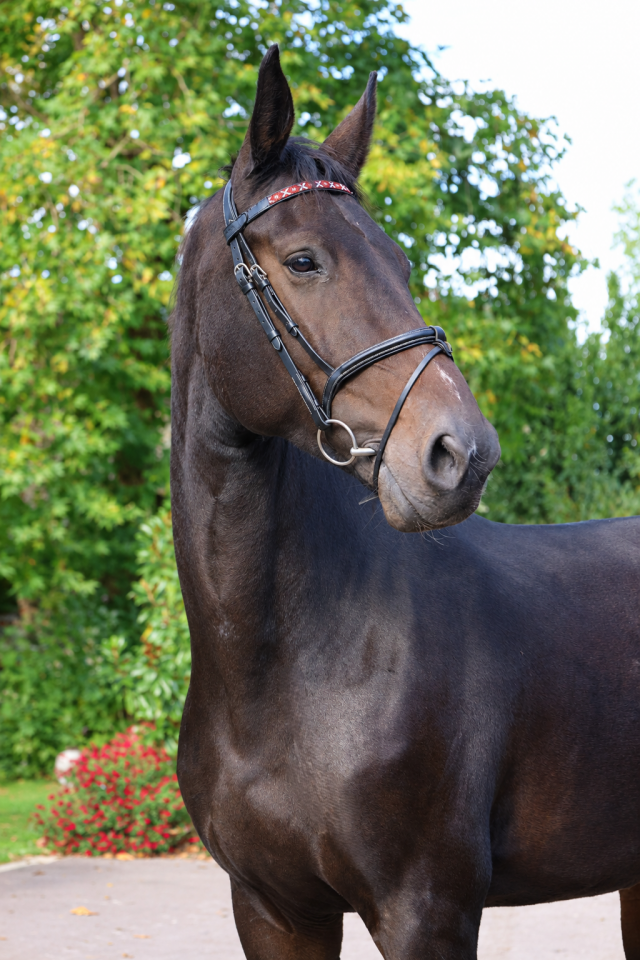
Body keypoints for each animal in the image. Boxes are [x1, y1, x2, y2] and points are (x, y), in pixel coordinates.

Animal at [171, 45, 640, 959]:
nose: (462, 453)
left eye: (404, 262)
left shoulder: (426, 908)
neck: (278, 666)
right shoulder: (273, 909)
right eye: (304, 260)